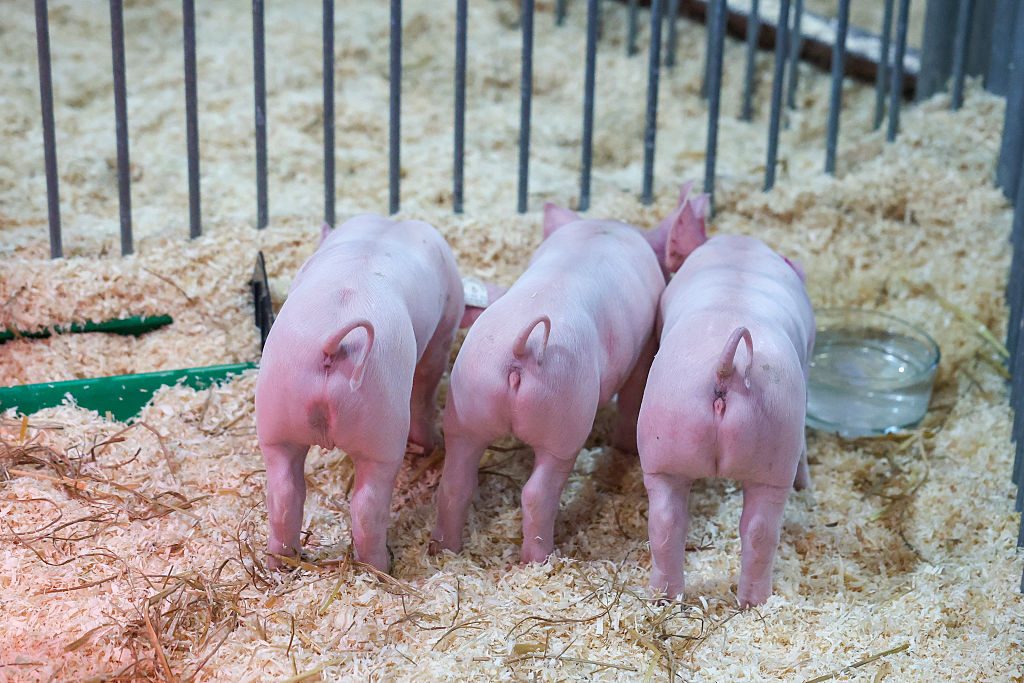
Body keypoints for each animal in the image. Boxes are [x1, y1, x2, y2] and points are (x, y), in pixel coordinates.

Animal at [255, 215, 465, 572]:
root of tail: (333, 344)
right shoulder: (444, 330)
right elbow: (427, 382)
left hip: (276, 415)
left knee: (284, 493)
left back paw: (281, 563)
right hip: (382, 432)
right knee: (367, 506)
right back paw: (380, 567)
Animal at [429, 203, 679, 563]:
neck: (601, 229)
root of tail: (522, 348)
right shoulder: (644, 345)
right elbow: (633, 396)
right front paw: (624, 449)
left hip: (467, 405)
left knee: (454, 482)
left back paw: (444, 549)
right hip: (563, 418)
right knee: (536, 492)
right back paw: (539, 560)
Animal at [636, 186, 815, 607]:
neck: (739, 253)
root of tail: (727, 368)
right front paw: (808, 488)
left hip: (664, 438)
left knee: (669, 522)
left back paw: (671, 599)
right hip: (776, 446)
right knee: (761, 526)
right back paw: (755, 601)